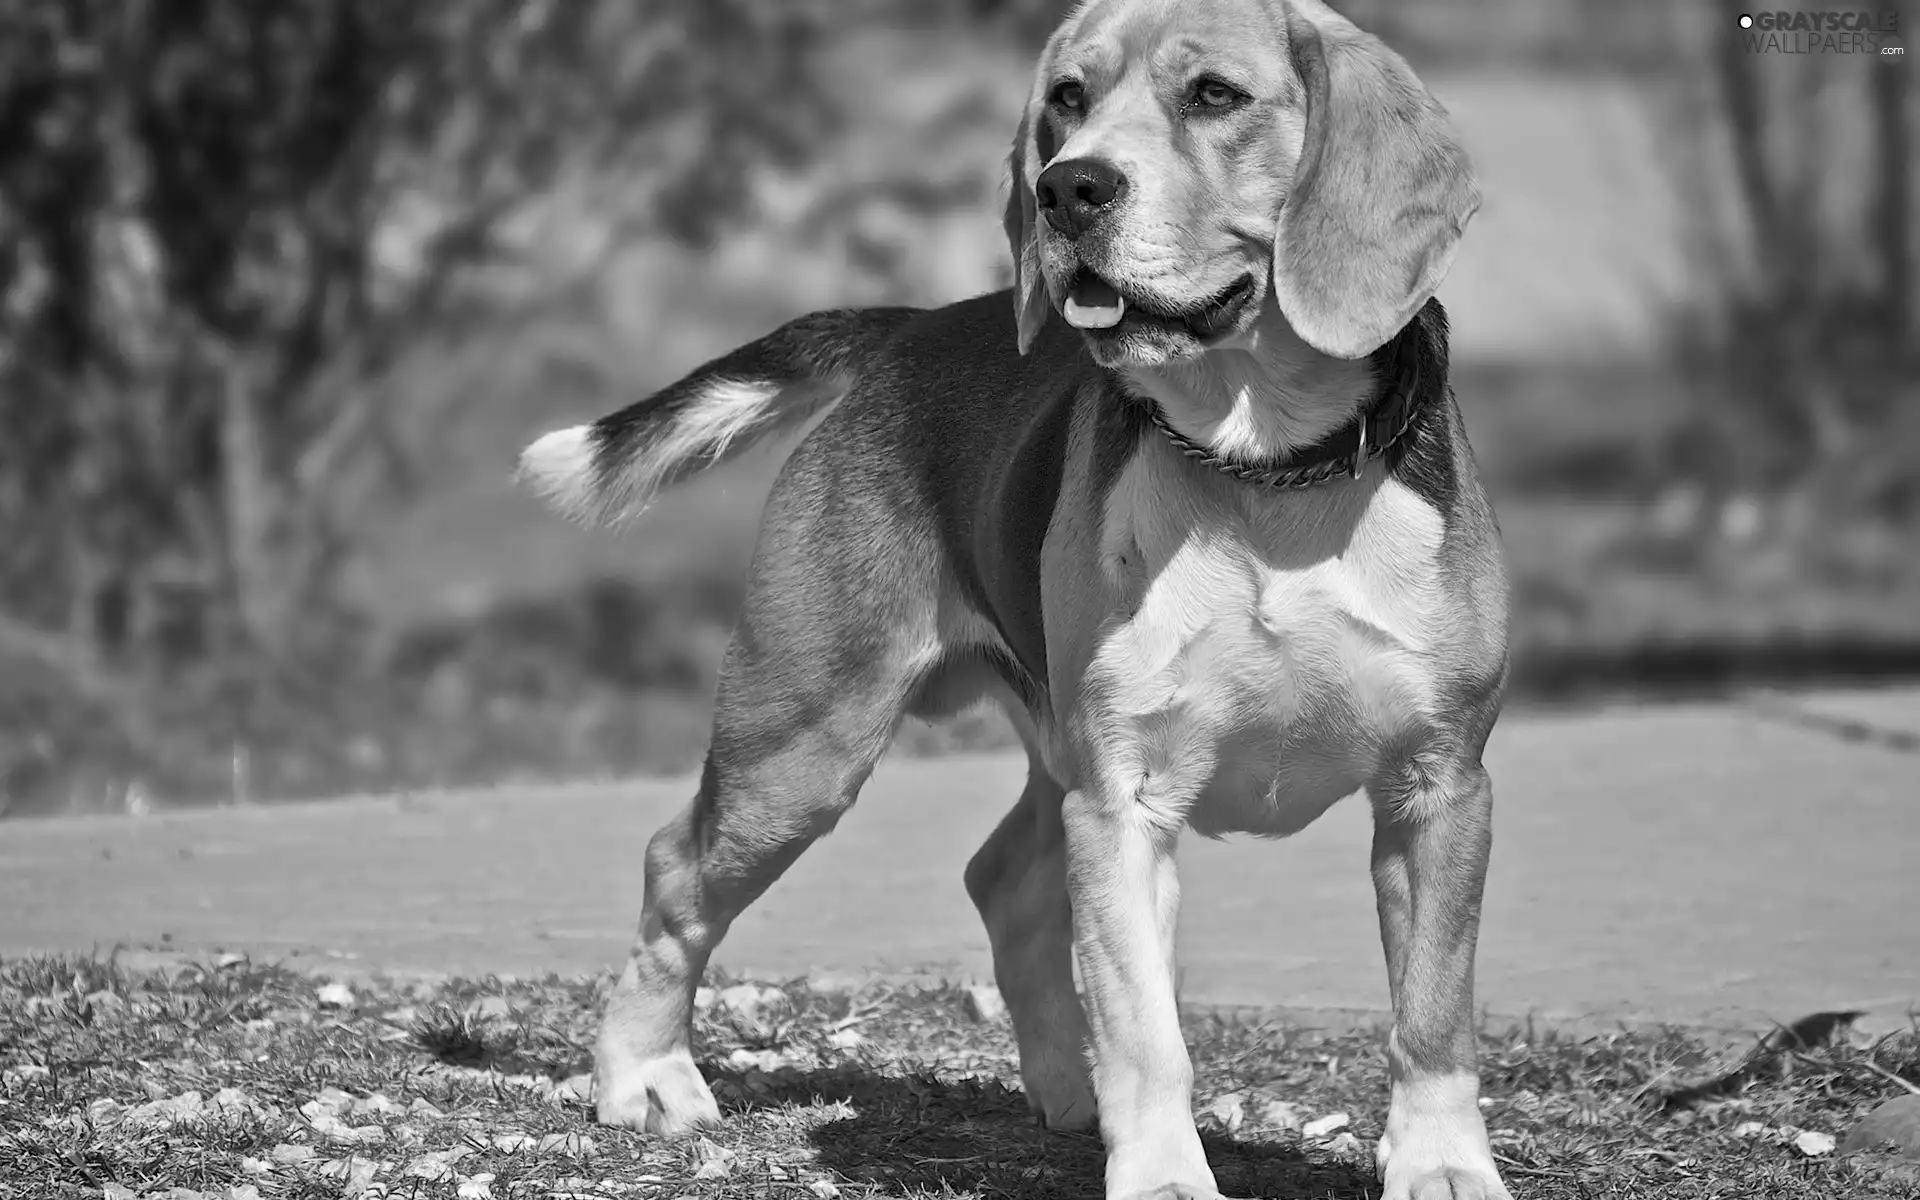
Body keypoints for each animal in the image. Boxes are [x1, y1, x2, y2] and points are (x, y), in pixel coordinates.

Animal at [526, 2, 1512, 1198]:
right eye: (1068, 101)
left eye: (1216, 96)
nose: (1068, 188)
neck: (1261, 465)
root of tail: (916, 330)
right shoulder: (1126, 801)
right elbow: (1148, 1031)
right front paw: (1164, 1175)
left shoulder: (1440, 789)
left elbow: (1433, 1016)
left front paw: (1444, 1165)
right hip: (802, 749)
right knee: (678, 866)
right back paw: (646, 1078)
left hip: (1036, 754)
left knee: (1001, 880)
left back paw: (1066, 1091)